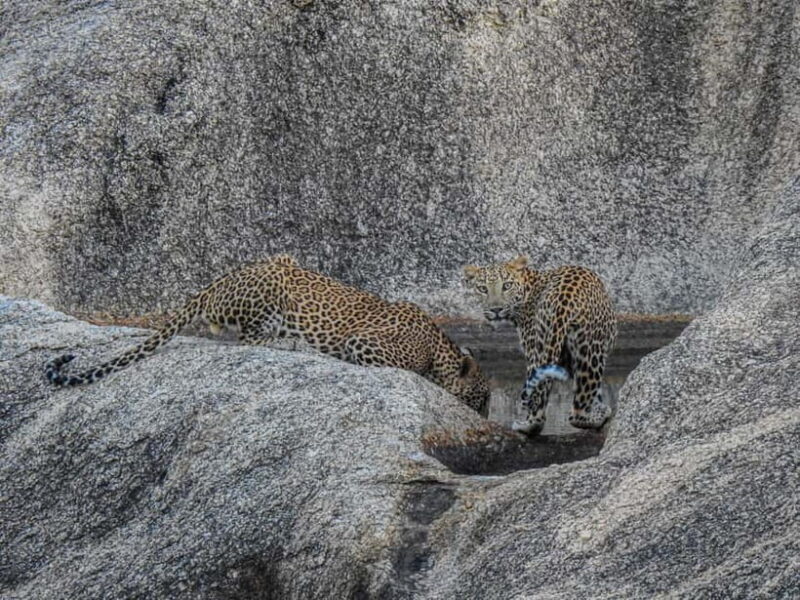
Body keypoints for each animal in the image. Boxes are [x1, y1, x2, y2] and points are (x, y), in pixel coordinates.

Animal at [45, 254, 490, 415]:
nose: (485, 416)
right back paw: (292, 342)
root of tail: (212, 285)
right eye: (482, 399)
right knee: (245, 339)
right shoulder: (364, 343)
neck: (440, 347)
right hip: (273, 289)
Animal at [463, 255, 615, 434]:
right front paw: (601, 407)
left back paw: (529, 425)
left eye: (507, 285)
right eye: (482, 289)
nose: (496, 309)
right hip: (582, 350)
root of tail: (564, 298)